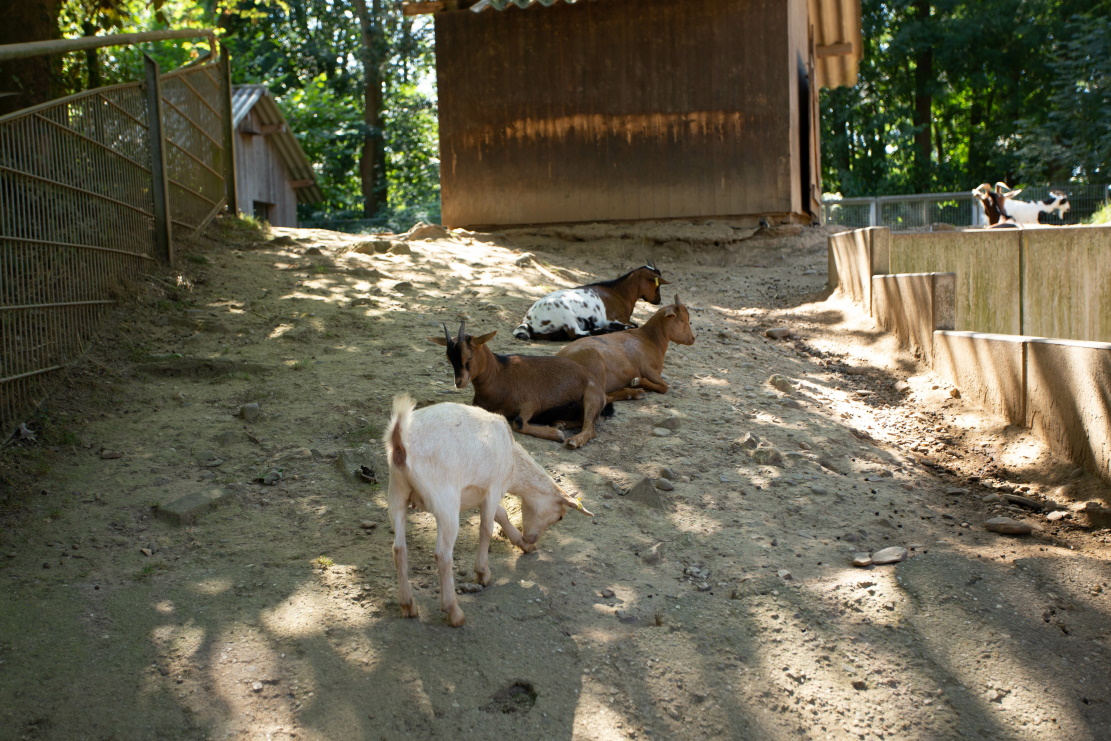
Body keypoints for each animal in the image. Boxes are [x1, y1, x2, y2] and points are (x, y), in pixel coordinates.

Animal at [382, 393, 591, 626]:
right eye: (561, 516)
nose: (532, 539)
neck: (514, 464)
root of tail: (400, 443)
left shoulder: (482, 493)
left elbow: (501, 514)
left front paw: (523, 544)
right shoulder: (494, 487)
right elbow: (486, 528)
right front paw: (483, 574)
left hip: (396, 493)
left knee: (399, 549)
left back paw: (408, 605)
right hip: (445, 499)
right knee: (442, 555)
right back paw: (454, 612)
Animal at [428, 322, 613, 448]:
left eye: (468, 356)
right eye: (448, 358)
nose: (459, 382)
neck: (500, 376)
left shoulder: (531, 403)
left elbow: (518, 423)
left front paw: (557, 435)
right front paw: (557, 430)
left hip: (591, 396)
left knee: (590, 427)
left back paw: (572, 440)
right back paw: (560, 423)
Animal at [511, 263, 666, 342]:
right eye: (657, 284)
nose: (658, 300)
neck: (619, 292)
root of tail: (528, 321)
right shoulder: (614, 319)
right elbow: (634, 325)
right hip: (564, 311)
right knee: (575, 334)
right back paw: (602, 330)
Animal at [555, 293, 693, 402]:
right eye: (682, 320)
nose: (692, 338)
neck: (649, 339)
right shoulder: (648, 369)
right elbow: (664, 387)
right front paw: (637, 382)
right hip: (595, 366)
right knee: (604, 397)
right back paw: (635, 393)